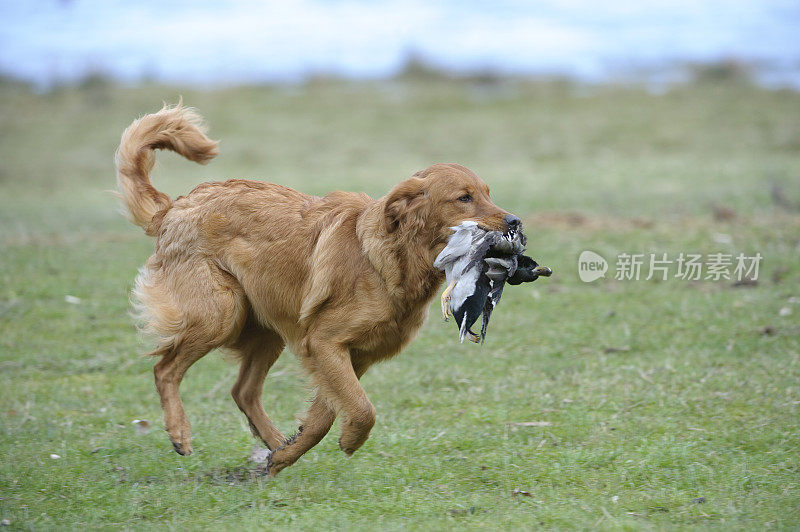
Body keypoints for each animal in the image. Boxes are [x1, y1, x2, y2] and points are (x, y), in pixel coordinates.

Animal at [117, 102, 520, 476]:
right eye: (464, 198)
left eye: (487, 193)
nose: (514, 222)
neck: (391, 259)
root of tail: (174, 207)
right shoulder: (325, 342)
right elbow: (362, 408)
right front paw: (349, 441)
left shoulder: (353, 354)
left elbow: (327, 416)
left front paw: (287, 455)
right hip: (221, 314)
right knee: (165, 370)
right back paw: (180, 433)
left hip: (267, 328)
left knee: (242, 390)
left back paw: (274, 444)